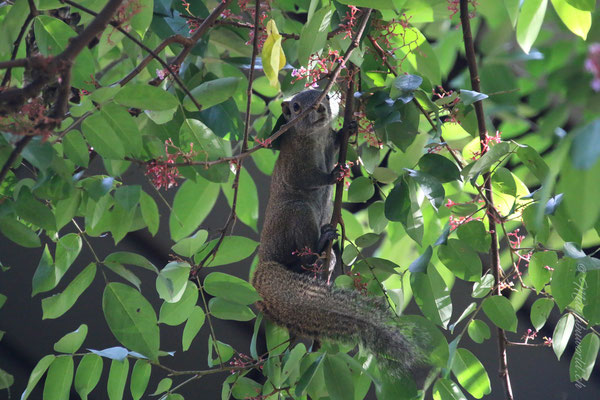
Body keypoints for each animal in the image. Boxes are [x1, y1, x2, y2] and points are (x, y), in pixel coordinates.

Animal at [251, 89, 428, 380]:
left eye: (322, 95)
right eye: (297, 107)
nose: (321, 109)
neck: (315, 136)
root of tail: (265, 263)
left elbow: (335, 145)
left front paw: (347, 128)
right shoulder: (295, 162)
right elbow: (308, 178)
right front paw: (333, 174)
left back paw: (329, 261)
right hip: (297, 214)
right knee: (303, 253)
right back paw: (320, 248)